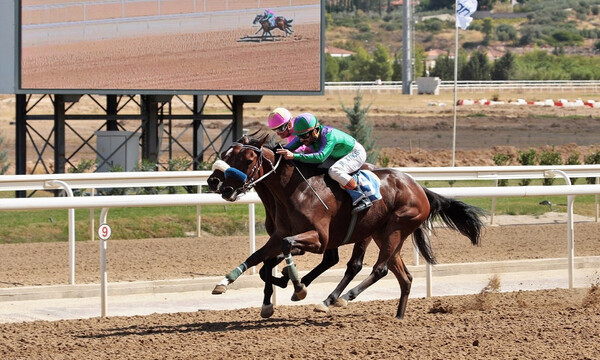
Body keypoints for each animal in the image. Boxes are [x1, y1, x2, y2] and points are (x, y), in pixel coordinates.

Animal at [211, 135, 482, 318]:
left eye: (247, 159)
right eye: (226, 156)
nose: (220, 185)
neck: (294, 190)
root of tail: (418, 188)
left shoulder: (319, 238)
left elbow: (285, 251)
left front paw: (298, 286)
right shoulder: (279, 235)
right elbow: (259, 258)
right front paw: (227, 283)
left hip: (394, 228)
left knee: (374, 268)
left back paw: (338, 298)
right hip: (382, 234)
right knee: (403, 277)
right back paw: (398, 316)